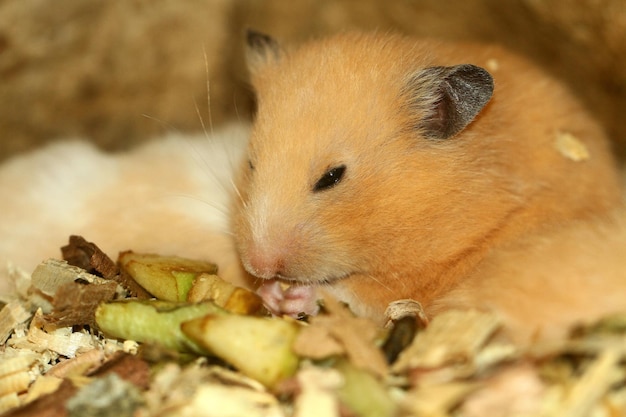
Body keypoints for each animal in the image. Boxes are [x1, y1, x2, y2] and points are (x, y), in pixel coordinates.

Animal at [232, 31, 620, 342]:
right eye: (251, 163)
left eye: (332, 177)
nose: (259, 266)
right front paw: (268, 292)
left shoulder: (418, 278)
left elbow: (361, 293)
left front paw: (293, 296)